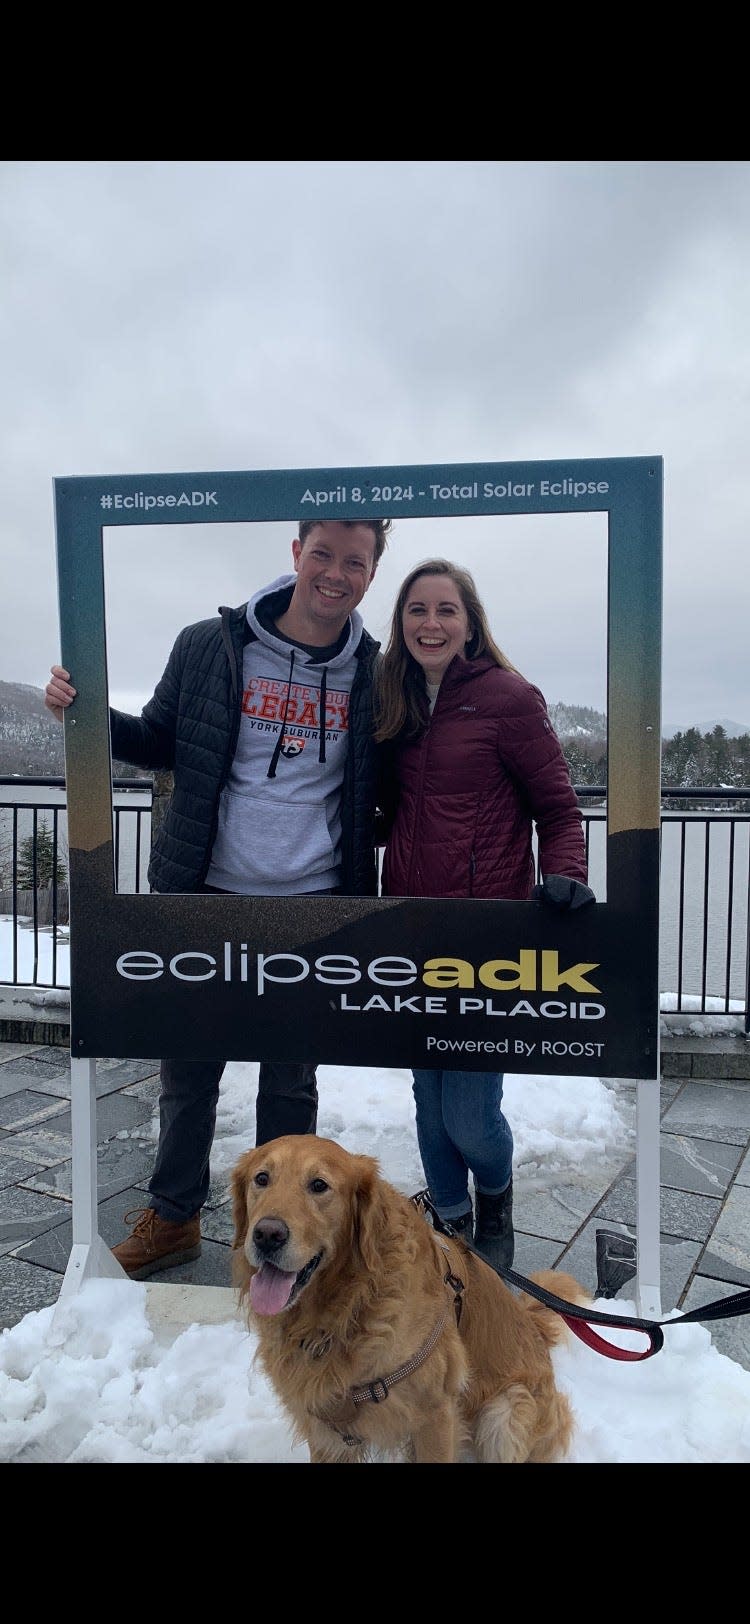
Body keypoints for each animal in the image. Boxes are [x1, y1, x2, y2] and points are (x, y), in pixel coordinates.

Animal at [232, 1136, 587, 1468]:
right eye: (261, 1178)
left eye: (319, 1185)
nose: (267, 1235)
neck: (346, 1309)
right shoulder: (327, 1433)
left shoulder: (435, 1415)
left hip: (507, 1412)